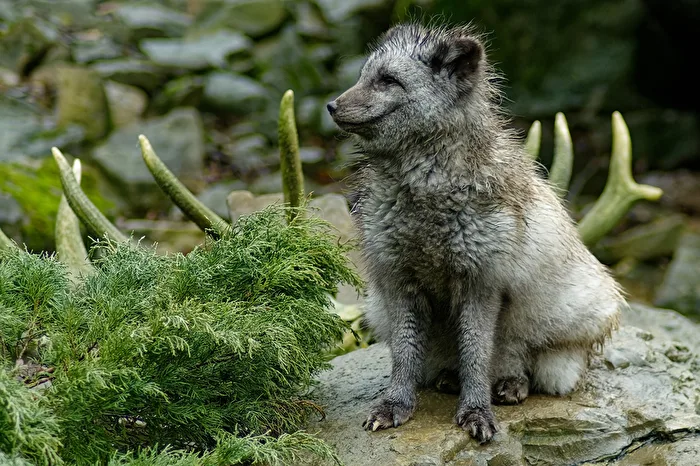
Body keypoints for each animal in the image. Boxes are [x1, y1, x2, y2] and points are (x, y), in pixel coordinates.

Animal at [326, 23, 623, 444]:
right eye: (362, 76)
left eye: (388, 80)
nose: (332, 106)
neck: (425, 192)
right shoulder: (398, 279)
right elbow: (404, 355)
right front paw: (395, 405)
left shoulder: (481, 283)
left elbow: (477, 354)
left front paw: (476, 411)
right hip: (379, 310)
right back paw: (452, 378)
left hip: (563, 320)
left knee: (524, 358)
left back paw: (511, 383)